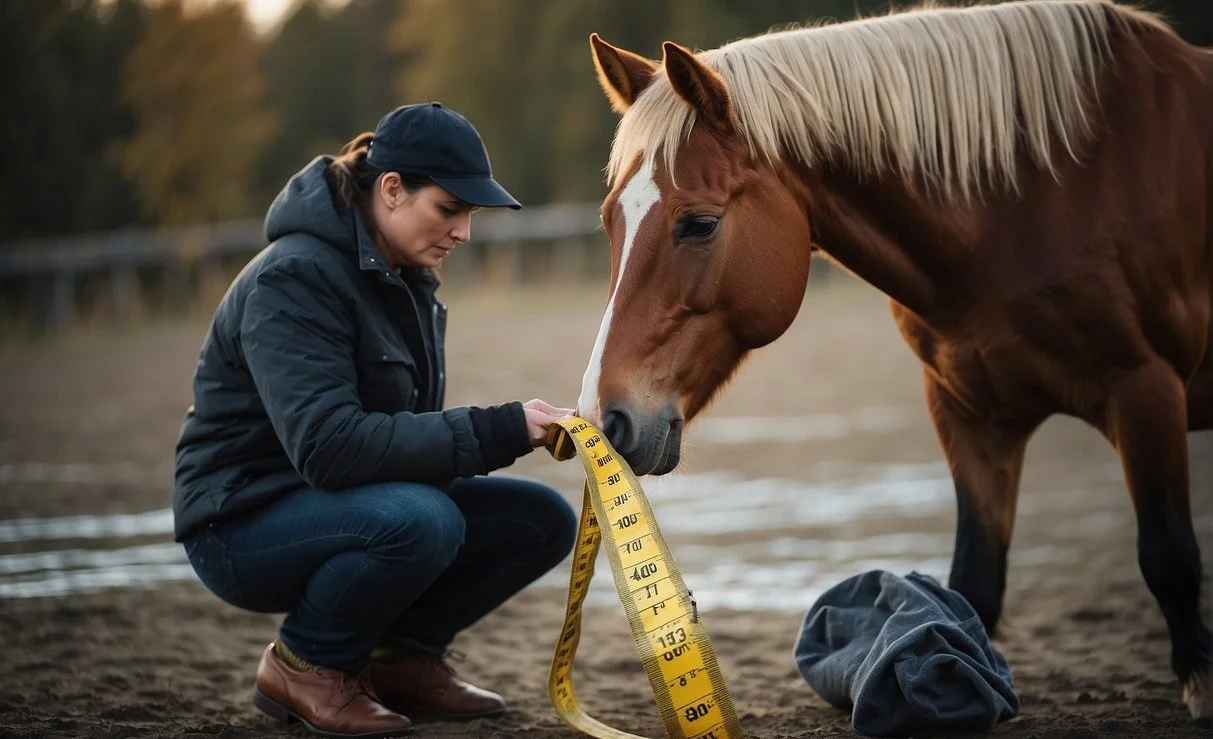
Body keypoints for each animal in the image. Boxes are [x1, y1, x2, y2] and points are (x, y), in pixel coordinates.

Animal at [574, 0, 1213, 718]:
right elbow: (971, 589)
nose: (604, 418)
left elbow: (1169, 557)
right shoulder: (969, 414)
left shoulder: (1146, 393)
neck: (1041, 198)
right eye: (610, 221)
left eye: (700, 224)